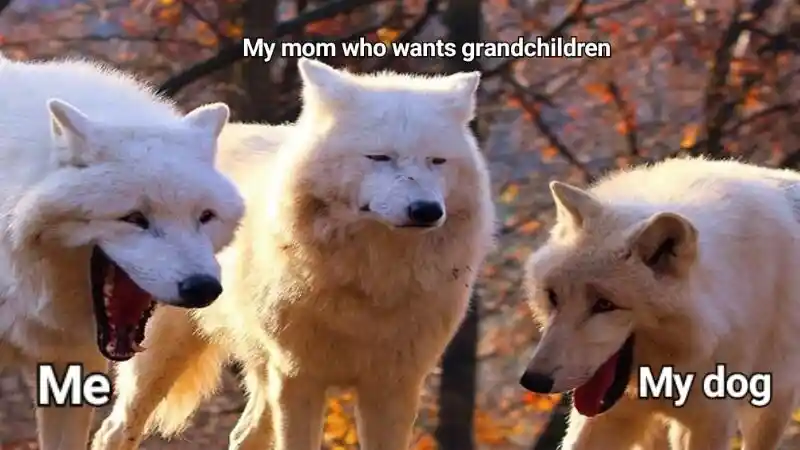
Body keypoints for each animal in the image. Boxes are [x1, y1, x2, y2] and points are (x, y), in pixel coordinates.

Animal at [91, 58, 496, 450]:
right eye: (380, 157)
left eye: (437, 161)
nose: (427, 210)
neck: (374, 280)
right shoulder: (298, 376)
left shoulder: (394, 386)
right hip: (162, 355)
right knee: (114, 431)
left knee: (243, 436)